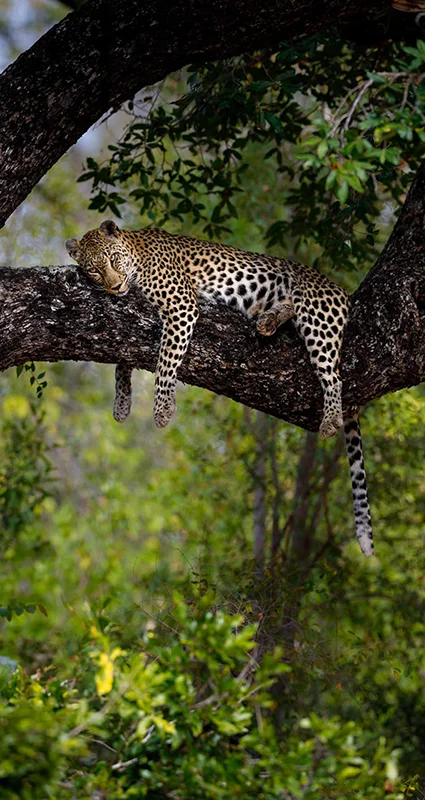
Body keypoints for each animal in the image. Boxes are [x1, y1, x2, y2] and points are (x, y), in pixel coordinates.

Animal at [66, 220, 373, 557]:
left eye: (113, 259)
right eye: (94, 270)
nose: (115, 285)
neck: (136, 254)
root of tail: (341, 291)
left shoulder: (181, 305)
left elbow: (165, 360)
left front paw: (162, 408)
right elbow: (123, 359)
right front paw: (122, 403)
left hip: (319, 319)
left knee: (334, 376)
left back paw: (330, 418)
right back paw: (269, 319)